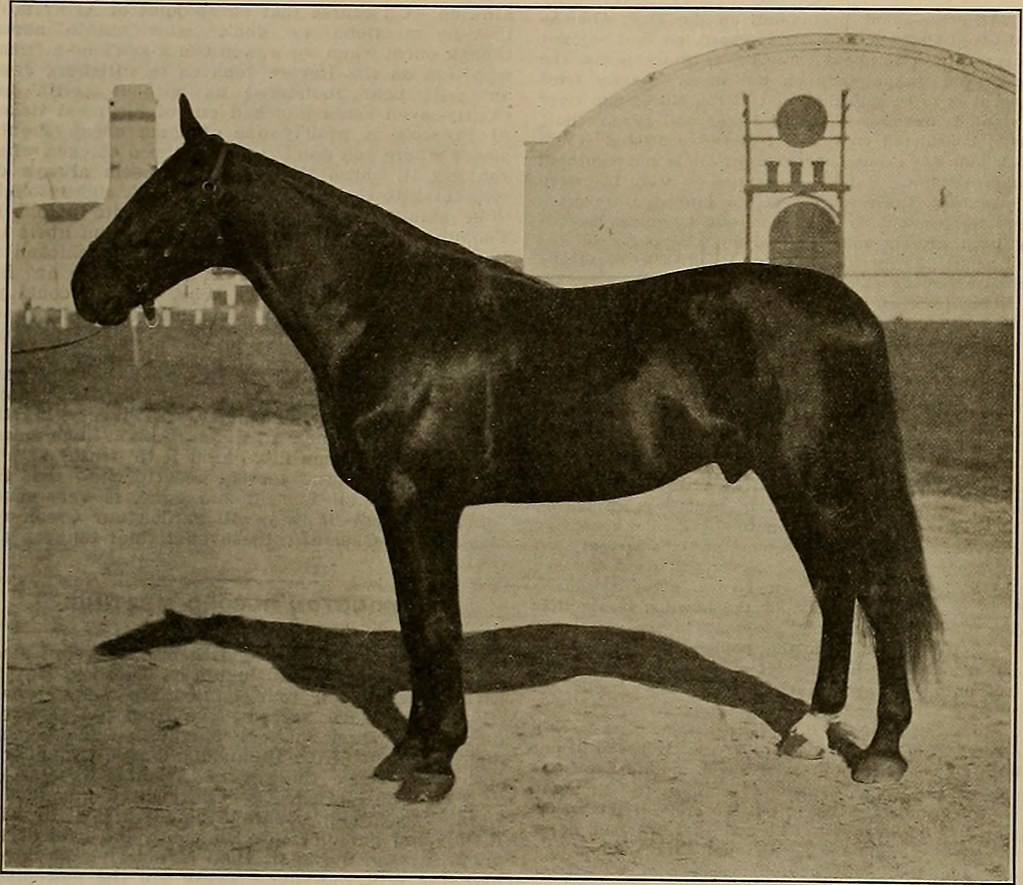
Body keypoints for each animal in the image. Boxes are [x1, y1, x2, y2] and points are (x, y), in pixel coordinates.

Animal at [72, 95, 940, 803]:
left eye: (164, 196)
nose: (85, 288)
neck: (389, 310)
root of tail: (849, 308)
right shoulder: (401, 510)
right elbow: (414, 619)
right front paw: (410, 748)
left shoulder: (422, 502)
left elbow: (434, 623)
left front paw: (433, 763)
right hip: (787, 480)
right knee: (836, 588)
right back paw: (808, 728)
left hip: (816, 477)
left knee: (874, 591)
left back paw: (881, 750)